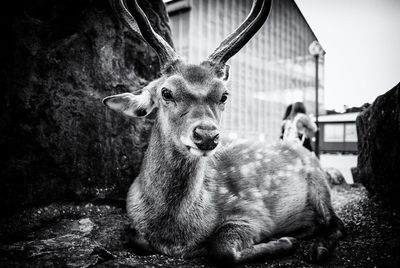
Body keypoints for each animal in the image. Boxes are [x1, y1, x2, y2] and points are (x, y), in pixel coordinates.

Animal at [102, 0, 344, 264]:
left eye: (224, 95)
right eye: (166, 92)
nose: (207, 135)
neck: (174, 232)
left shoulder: (254, 214)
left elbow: (222, 249)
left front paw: (285, 241)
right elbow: (134, 237)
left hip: (320, 183)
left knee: (337, 223)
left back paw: (317, 248)